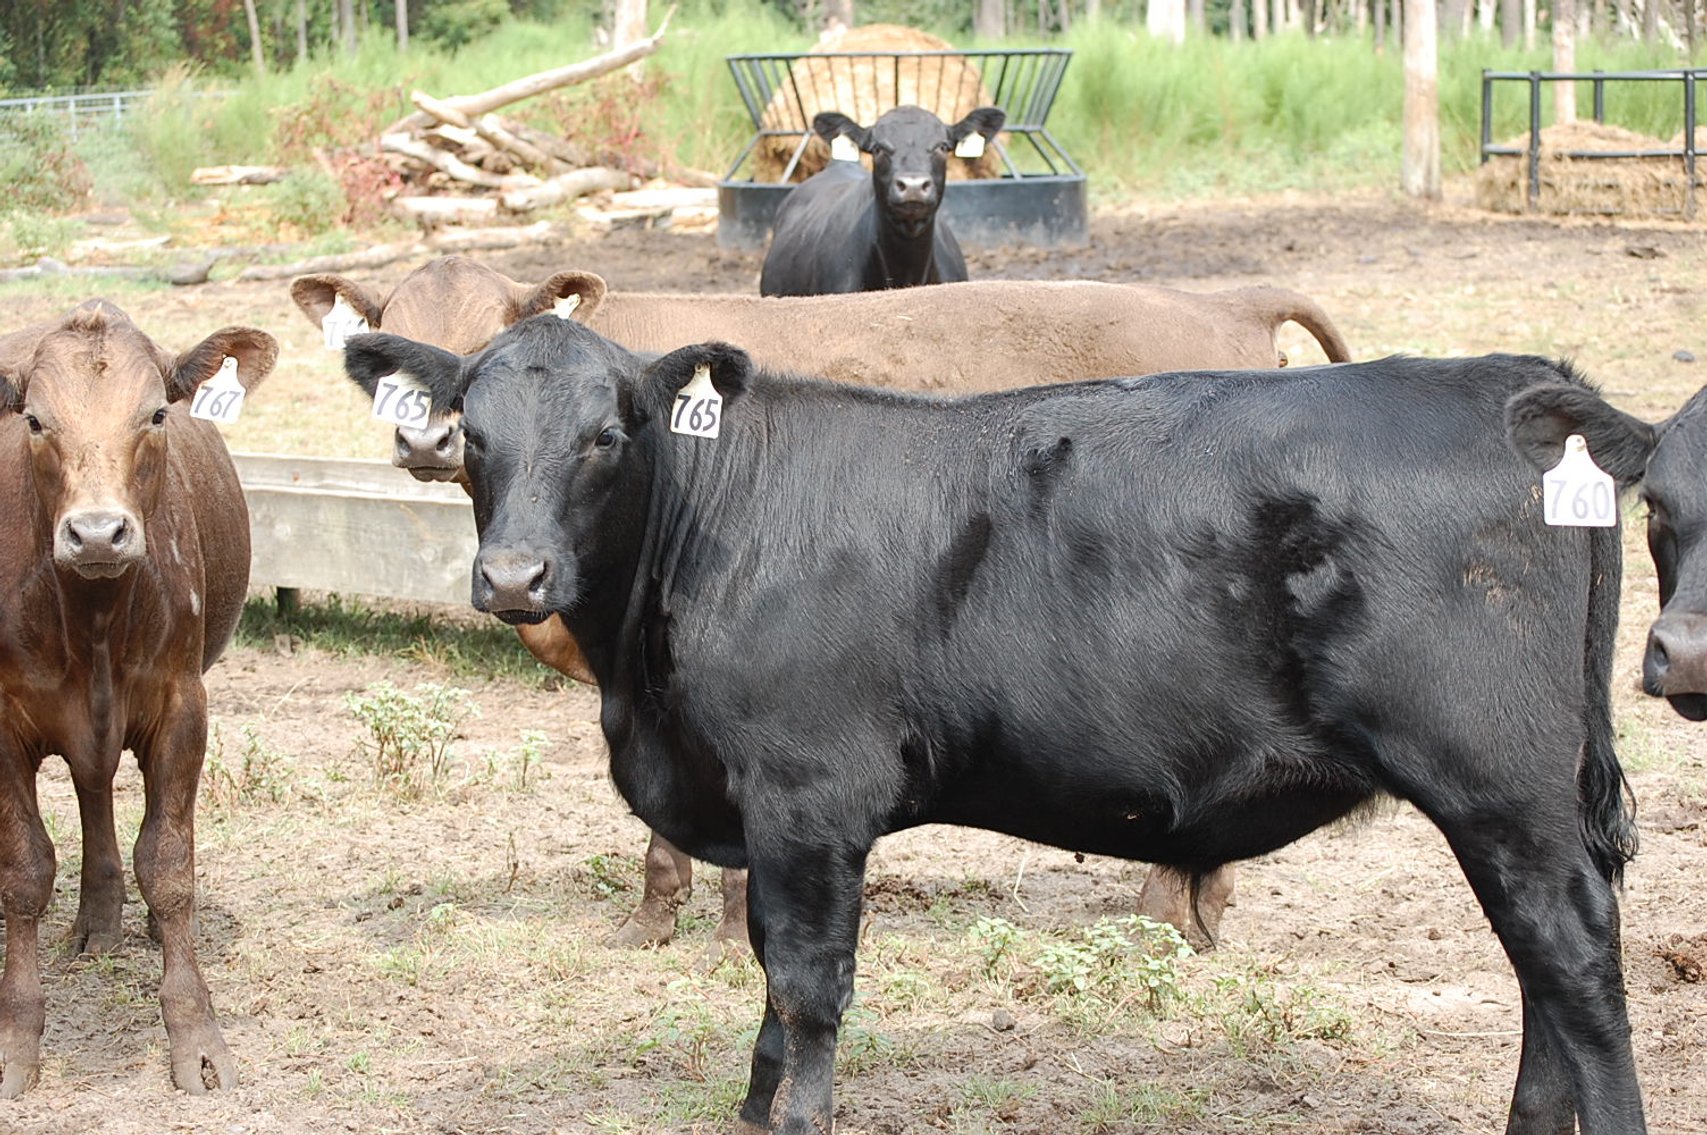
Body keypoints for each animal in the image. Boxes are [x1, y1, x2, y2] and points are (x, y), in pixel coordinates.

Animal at [0, 301, 275, 1096]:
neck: (91, 613)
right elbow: (24, 871)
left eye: (155, 413)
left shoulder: (183, 705)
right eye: (35, 420)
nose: (97, 533)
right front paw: (17, 1041)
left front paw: (196, 1035)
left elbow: (169, 863)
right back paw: (96, 918)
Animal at [297, 258, 1357, 950]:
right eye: (407, 350)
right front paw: (650, 921)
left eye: (487, 334)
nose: (426, 440)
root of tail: (1220, 295)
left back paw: (1173, 913)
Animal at [343, 319, 1644, 1135]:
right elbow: (767, 966)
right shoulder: (766, 807)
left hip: (1499, 784)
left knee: (1575, 963)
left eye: (609, 433)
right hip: (1521, 802)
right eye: (469, 433)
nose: (514, 577)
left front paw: (797, 1115)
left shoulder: (809, 793)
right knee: (1543, 973)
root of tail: (1520, 383)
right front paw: (755, 1108)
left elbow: (809, 982)